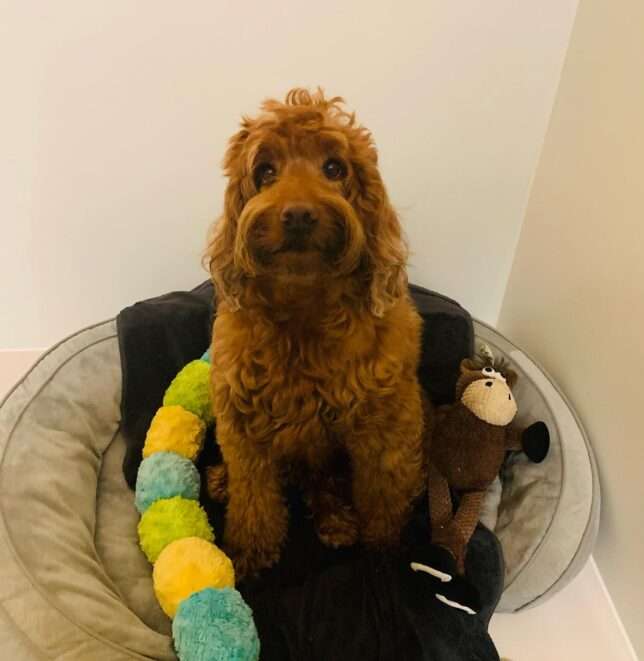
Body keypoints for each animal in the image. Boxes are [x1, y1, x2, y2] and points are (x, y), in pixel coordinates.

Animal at [206, 89, 428, 576]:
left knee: (324, 481)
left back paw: (336, 521)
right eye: (265, 172)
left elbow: (383, 497)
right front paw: (248, 556)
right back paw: (221, 481)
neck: (305, 304)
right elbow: (254, 500)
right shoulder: (243, 424)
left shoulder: (385, 427)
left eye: (334, 168)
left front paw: (383, 552)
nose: (298, 215)